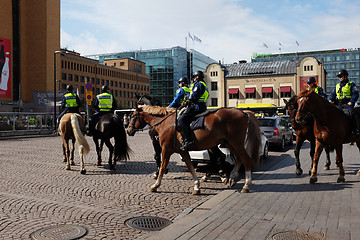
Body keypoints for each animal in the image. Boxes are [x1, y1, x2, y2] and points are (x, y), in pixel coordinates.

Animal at [127, 104, 262, 194]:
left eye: (132, 116)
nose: (128, 130)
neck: (166, 123)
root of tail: (243, 113)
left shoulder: (166, 149)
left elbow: (162, 167)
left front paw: (155, 185)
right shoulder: (183, 151)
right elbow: (191, 167)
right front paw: (197, 186)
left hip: (235, 143)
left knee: (245, 159)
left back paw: (246, 184)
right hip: (229, 144)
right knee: (237, 158)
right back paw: (231, 177)